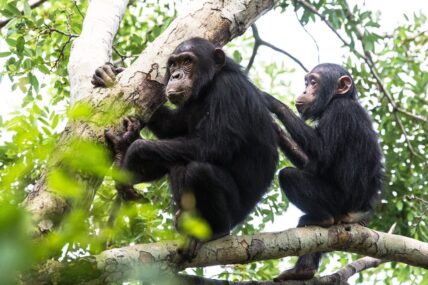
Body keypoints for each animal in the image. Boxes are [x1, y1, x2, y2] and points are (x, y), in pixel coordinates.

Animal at [92, 37, 280, 258]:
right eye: (173, 64)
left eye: (188, 61)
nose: (175, 75)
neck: (208, 86)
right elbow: (173, 127)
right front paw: (109, 73)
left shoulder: (228, 90)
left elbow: (214, 145)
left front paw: (135, 151)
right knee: (174, 162)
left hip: (233, 215)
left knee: (199, 170)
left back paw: (214, 232)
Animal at [264, 62, 384, 280]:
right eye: (307, 82)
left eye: (314, 82)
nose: (305, 90)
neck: (337, 99)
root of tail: (357, 213)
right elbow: (314, 164)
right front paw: (275, 128)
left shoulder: (340, 111)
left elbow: (322, 150)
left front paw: (271, 101)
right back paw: (303, 270)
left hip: (337, 201)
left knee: (289, 176)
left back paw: (321, 219)